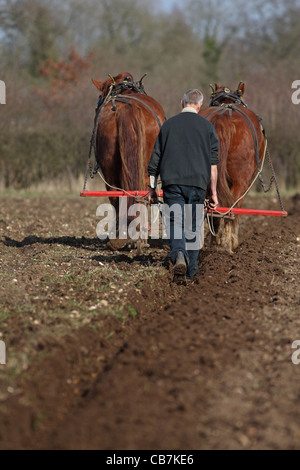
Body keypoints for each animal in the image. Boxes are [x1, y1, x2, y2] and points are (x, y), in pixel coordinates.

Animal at [199, 82, 268, 255]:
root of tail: (223, 116)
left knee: (215, 207)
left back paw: (217, 241)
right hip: (241, 179)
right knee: (233, 206)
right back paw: (229, 244)